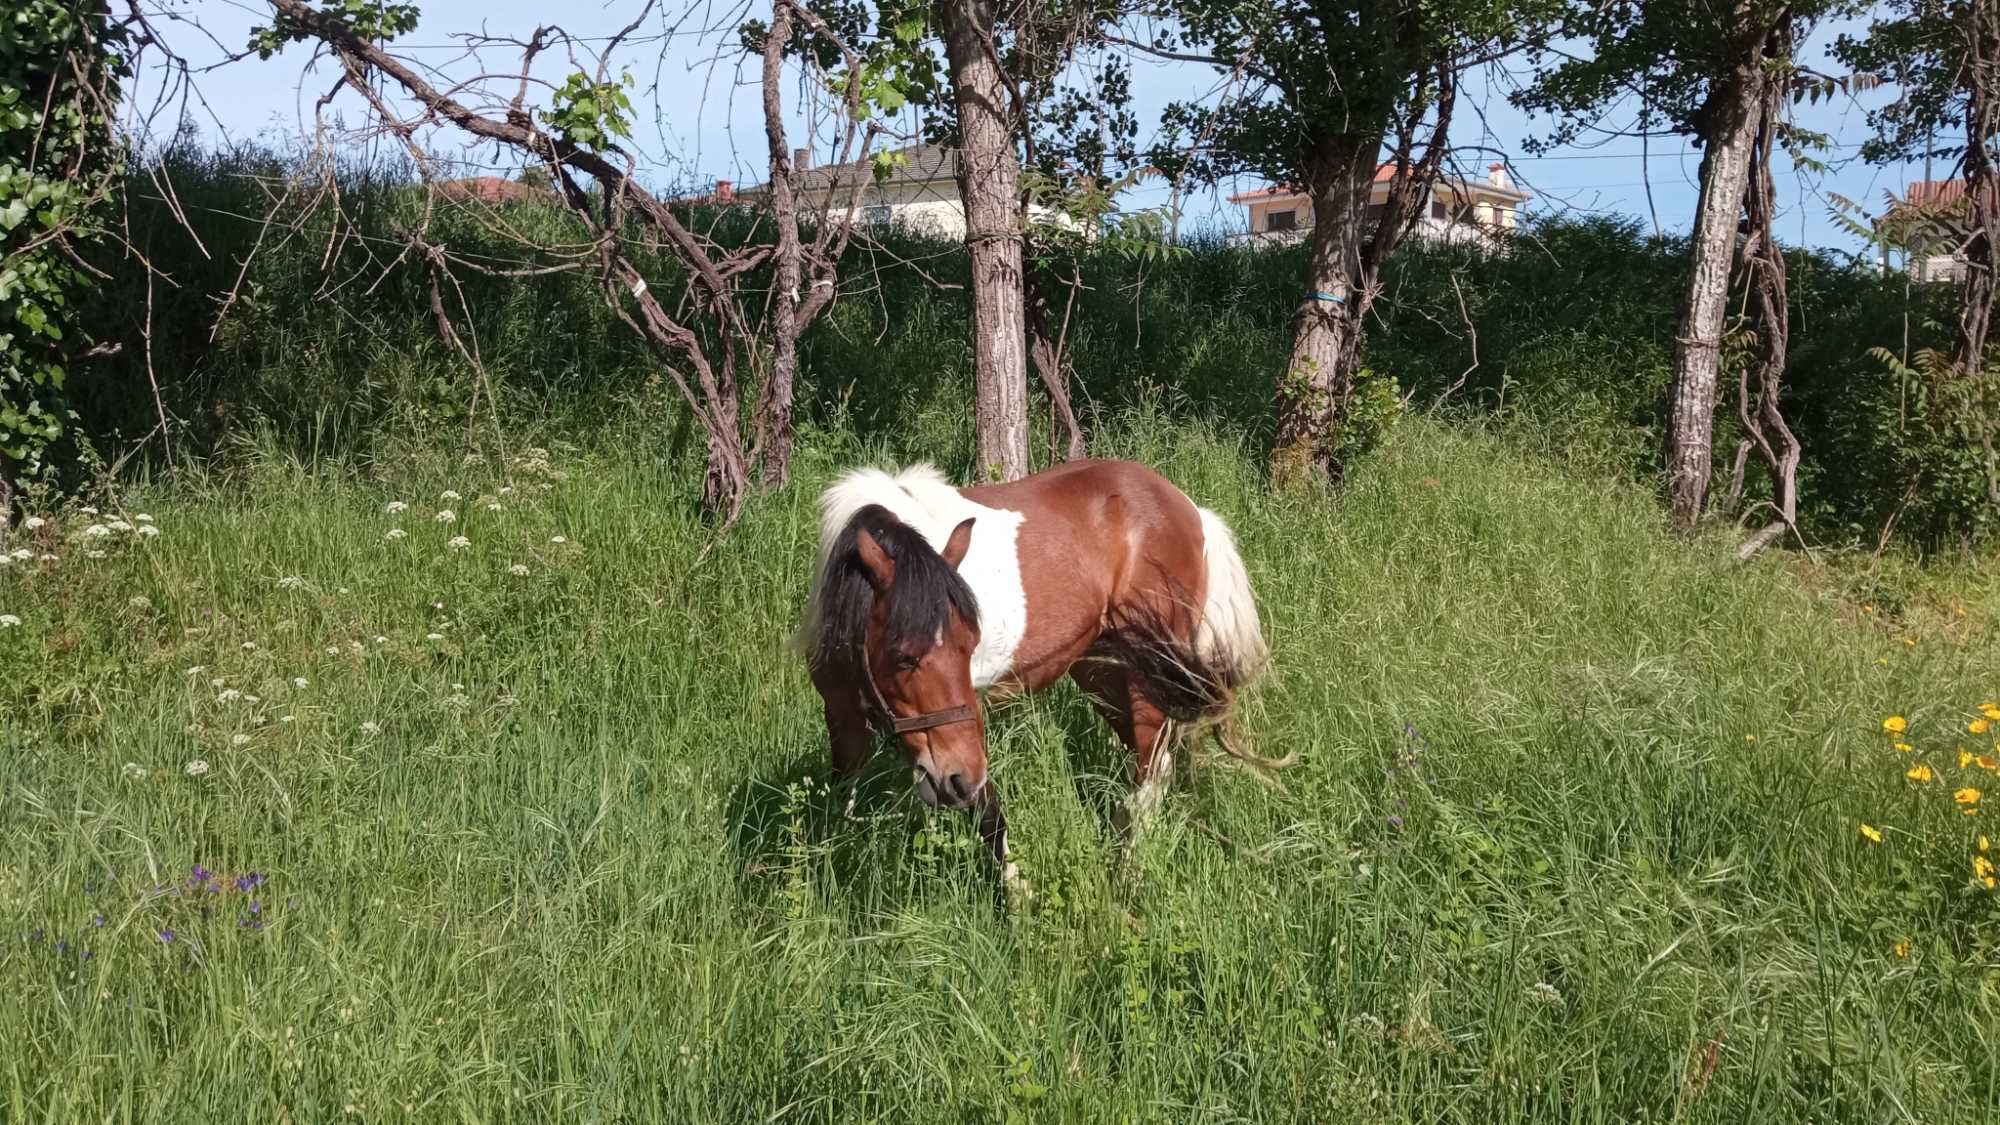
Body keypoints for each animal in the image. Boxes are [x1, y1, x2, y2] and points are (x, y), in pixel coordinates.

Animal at [792, 456, 1264, 884]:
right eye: (903, 655)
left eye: (970, 645)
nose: (953, 782)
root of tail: (1191, 510)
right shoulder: (843, 718)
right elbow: (839, 804)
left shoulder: (968, 722)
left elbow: (988, 814)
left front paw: (1016, 897)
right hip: (1101, 671)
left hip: (1146, 675)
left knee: (1152, 769)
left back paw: (1127, 871)